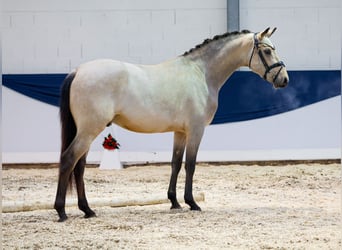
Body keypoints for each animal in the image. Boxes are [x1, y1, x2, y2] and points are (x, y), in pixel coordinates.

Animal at [54, 27, 288, 222]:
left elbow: (175, 163)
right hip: (89, 130)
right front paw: (192, 202)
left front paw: (174, 202)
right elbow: (190, 165)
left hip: (87, 131)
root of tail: (78, 71)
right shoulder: (196, 130)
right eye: (267, 51)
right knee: (68, 160)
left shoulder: (180, 132)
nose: (284, 79)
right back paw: (62, 211)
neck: (201, 73)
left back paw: (87, 210)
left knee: (79, 166)